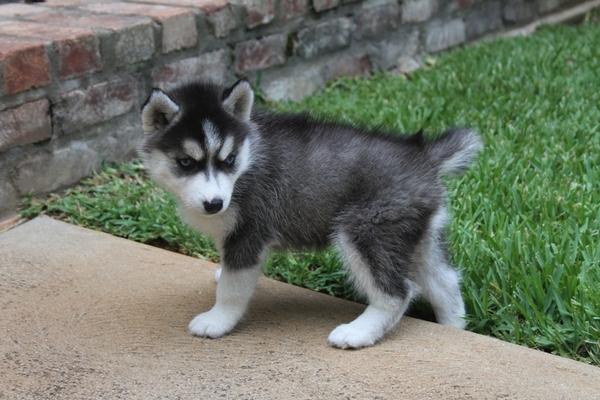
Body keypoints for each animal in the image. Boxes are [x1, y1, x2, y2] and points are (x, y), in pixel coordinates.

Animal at [138, 78, 480, 346]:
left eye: (229, 159)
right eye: (185, 163)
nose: (214, 204)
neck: (249, 158)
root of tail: (423, 154)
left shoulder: (250, 231)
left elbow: (233, 288)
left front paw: (217, 321)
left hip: (364, 230)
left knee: (399, 292)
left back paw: (358, 333)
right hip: (417, 233)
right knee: (446, 281)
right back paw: (455, 327)